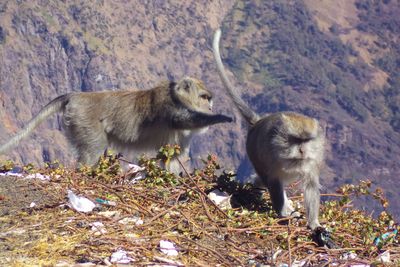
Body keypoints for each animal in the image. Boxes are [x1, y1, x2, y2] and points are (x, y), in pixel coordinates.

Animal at [0, 76, 233, 173]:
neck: (180, 97)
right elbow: (183, 119)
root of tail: (76, 97)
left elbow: (174, 157)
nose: (210, 107)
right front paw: (221, 117)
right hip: (84, 121)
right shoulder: (170, 106)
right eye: (204, 97)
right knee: (93, 149)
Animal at [212, 28, 324, 230]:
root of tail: (257, 122)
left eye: (306, 140)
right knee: (266, 179)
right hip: (253, 150)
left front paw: (314, 224)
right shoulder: (271, 157)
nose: (302, 151)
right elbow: (273, 180)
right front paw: (283, 213)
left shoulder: (311, 160)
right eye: (295, 140)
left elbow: (311, 184)